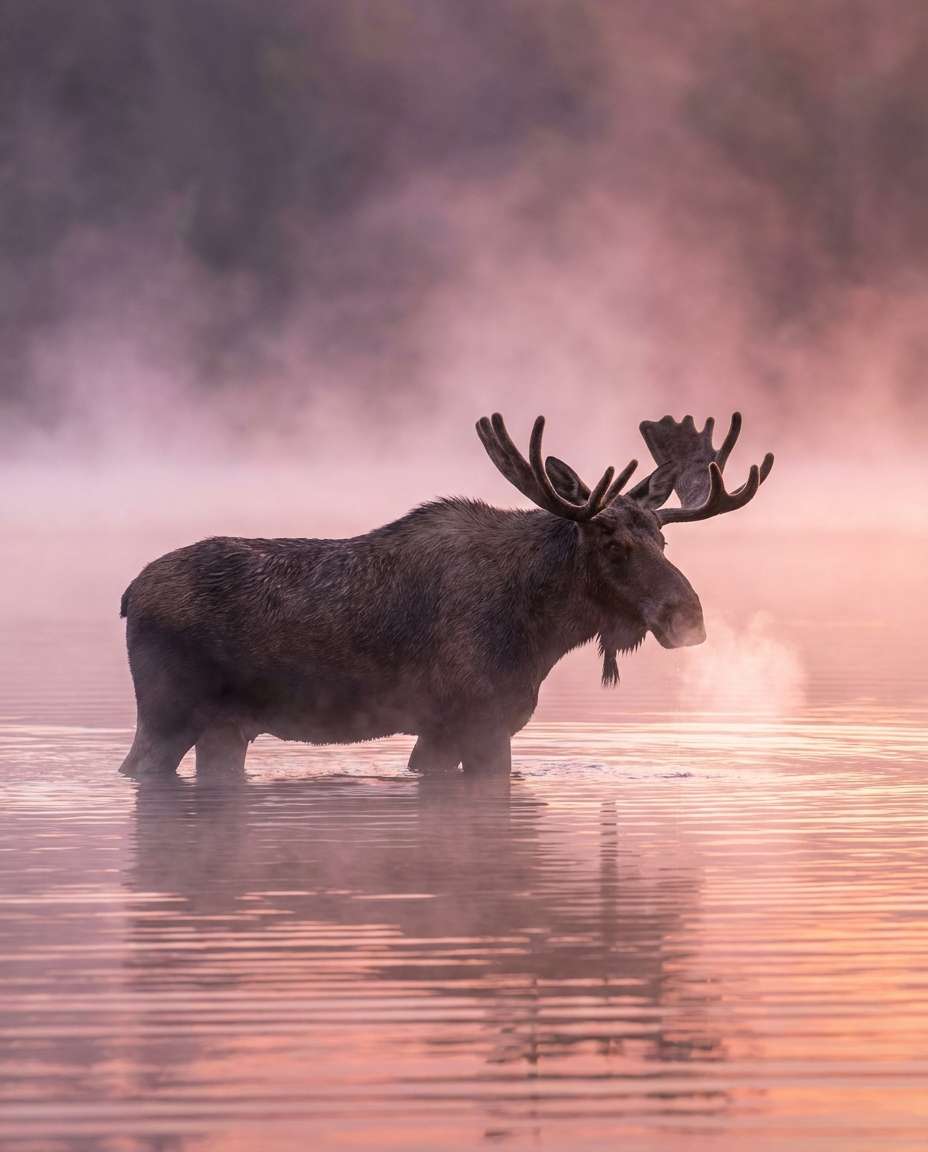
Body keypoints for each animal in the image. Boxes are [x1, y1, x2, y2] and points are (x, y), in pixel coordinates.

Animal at [119, 412, 773, 777]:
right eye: (611, 543)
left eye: (663, 538)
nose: (688, 616)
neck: (541, 631)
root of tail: (127, 596)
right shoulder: (479, 719)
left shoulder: (441, 729)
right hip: (168, 711)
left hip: (226, 726)